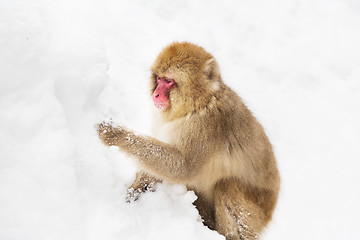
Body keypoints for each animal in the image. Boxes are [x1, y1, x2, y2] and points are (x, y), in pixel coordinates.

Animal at [97, 42, 280, 239]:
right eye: (159, 79)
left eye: (169, 81)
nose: (156, 94)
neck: (196, 105)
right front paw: (132, 194)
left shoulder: (206, 125)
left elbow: (182, 167)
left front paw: (115, 134)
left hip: (256, 214)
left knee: (228, 186)